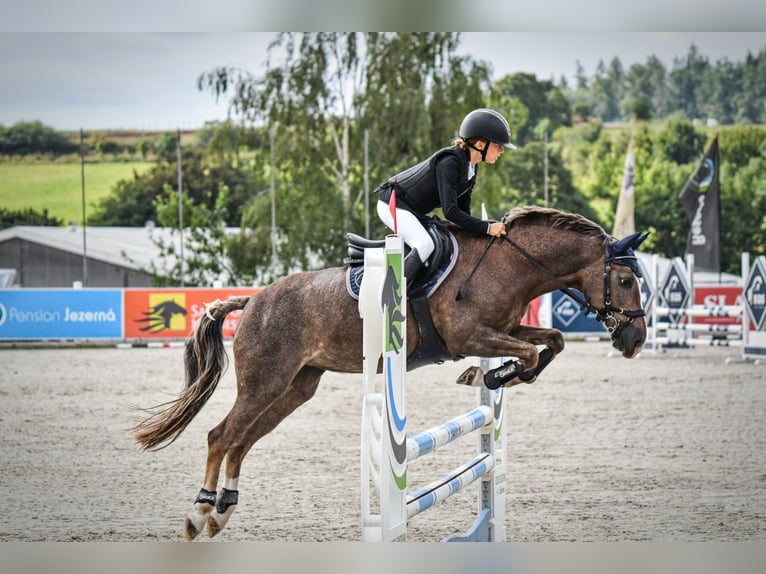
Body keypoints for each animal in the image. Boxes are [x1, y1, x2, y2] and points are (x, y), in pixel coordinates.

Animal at [130, 205, 648, 544]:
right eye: (625, 280)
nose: (635, 341)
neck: (511, 264)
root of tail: (253, 299)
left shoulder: (502, 328)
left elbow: (550, 342)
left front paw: (495, 377)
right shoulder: (470, 336)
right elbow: (529, 353)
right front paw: (490, 377)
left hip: (296, 387)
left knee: (241, 441)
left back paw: (222, 514)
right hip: (265, 382)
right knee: (221, 435)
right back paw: (199, 514)